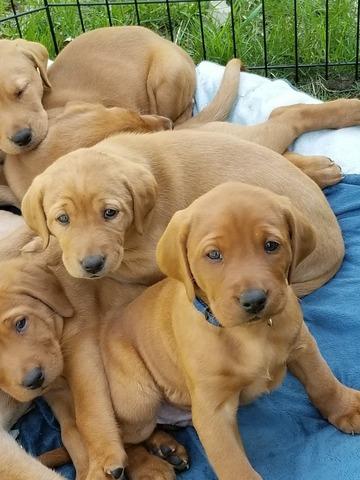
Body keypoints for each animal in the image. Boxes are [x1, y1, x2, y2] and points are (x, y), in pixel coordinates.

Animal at [21, 96, 360, 296]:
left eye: (110, 213)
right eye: (62, 219)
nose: (92, 265)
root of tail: (336, 246)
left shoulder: (149, 260)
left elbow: (121, 270)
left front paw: (44, 254)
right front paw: (41, 246)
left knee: (289, 116)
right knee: (282, 118)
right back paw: (321, 168)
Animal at [100, 183, 360, 480]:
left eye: (271, 245)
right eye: (214, 254)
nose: (254, 300)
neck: (250, 333)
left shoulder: (302, 345)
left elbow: (322, 380)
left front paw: (347, 408)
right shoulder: (212, 410)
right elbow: (233, 464)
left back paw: (167, 447)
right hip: (138, 399)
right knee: (124, 440)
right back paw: (151, 466)